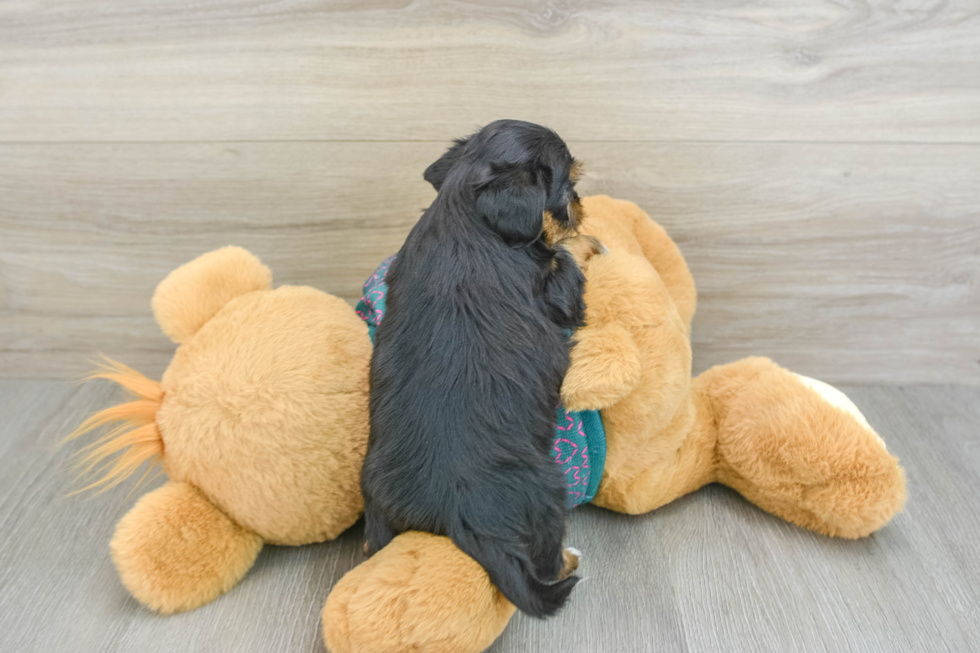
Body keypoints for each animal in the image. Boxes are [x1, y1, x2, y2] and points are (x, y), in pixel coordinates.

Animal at [360, 121, 592, 616]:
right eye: (568, 187)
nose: (581, 205)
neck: (465, 218)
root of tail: (454, 512)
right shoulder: (557, 295)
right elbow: (565, 258)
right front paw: (587, 240)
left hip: (381, 506)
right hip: (548, 489)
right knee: (544, 560)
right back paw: (567, 558)